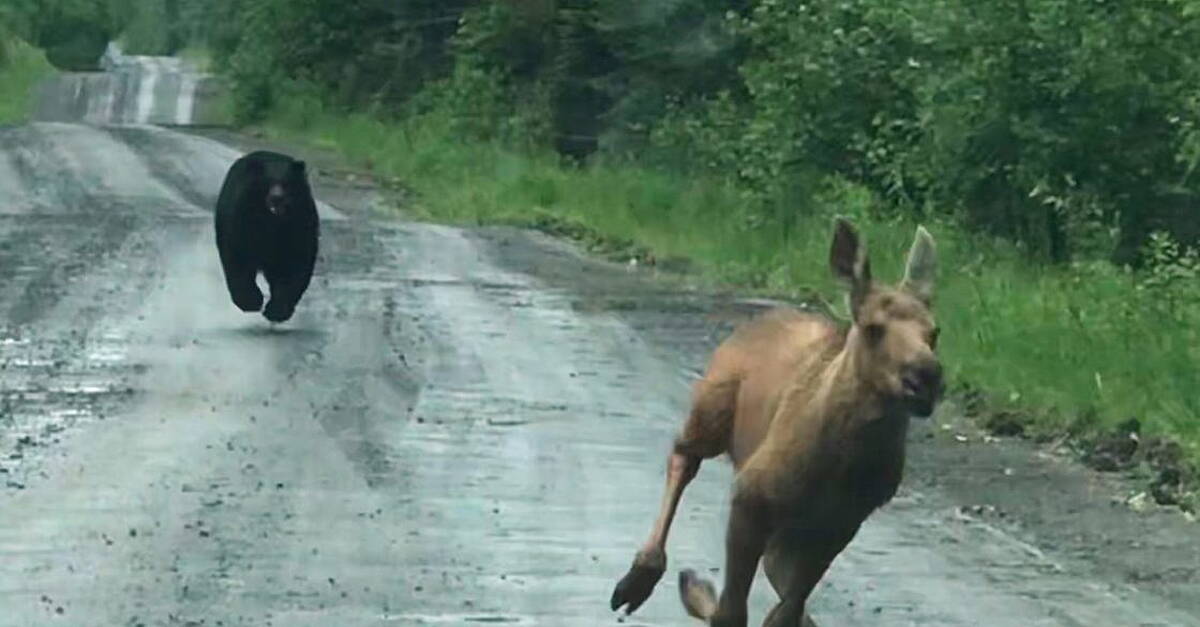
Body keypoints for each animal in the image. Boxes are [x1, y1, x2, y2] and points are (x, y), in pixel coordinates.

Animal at [214, 150, 319, 323]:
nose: (277, 197)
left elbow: (295, 262)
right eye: (267, 182)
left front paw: (277, 310)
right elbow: (238, 256)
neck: (272, 221)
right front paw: (249, 301)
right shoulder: (242, 219)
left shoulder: (299, 223)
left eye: (286, 183)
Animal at [609, 217, 943, 627]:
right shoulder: (751, 496)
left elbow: (785, 610)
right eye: (872, 328)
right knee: (684, 455)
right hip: (712, 409)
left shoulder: (840, 525)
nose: (926, 377)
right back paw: (640, 577)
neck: (843, 464)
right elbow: (733, 611)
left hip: (790, 530)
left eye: (935, 332)